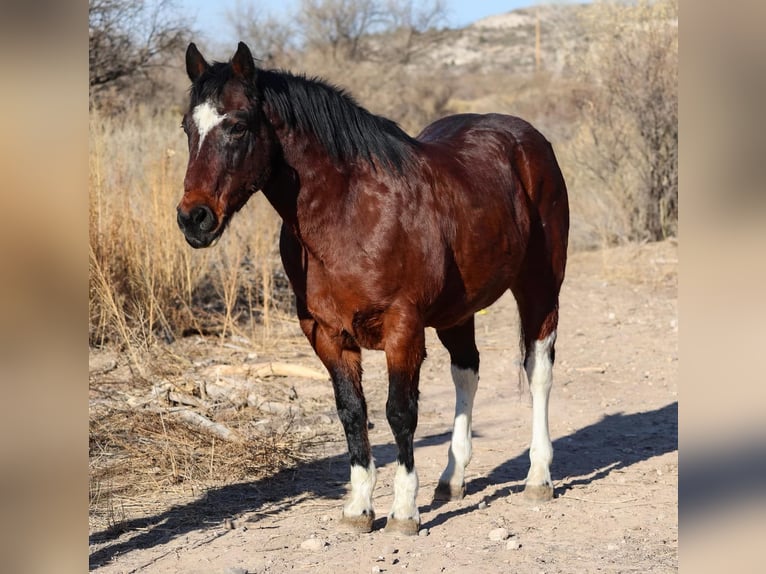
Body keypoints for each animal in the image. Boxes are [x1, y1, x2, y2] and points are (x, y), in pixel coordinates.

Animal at [177, 42, 568, 536]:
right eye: (188, 127)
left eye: (238, 125)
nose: (194, 219)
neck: (349, 212)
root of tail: (530, 141)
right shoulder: (326, 335)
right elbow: (352, 412)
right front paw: (359, 507)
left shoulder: (403, 329)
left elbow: (400, 412)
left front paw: (404, 511)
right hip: (458, 312)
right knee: (467, 372)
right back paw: (452, 478)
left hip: (540, 288)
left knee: (538, 371)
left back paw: (539, 478)